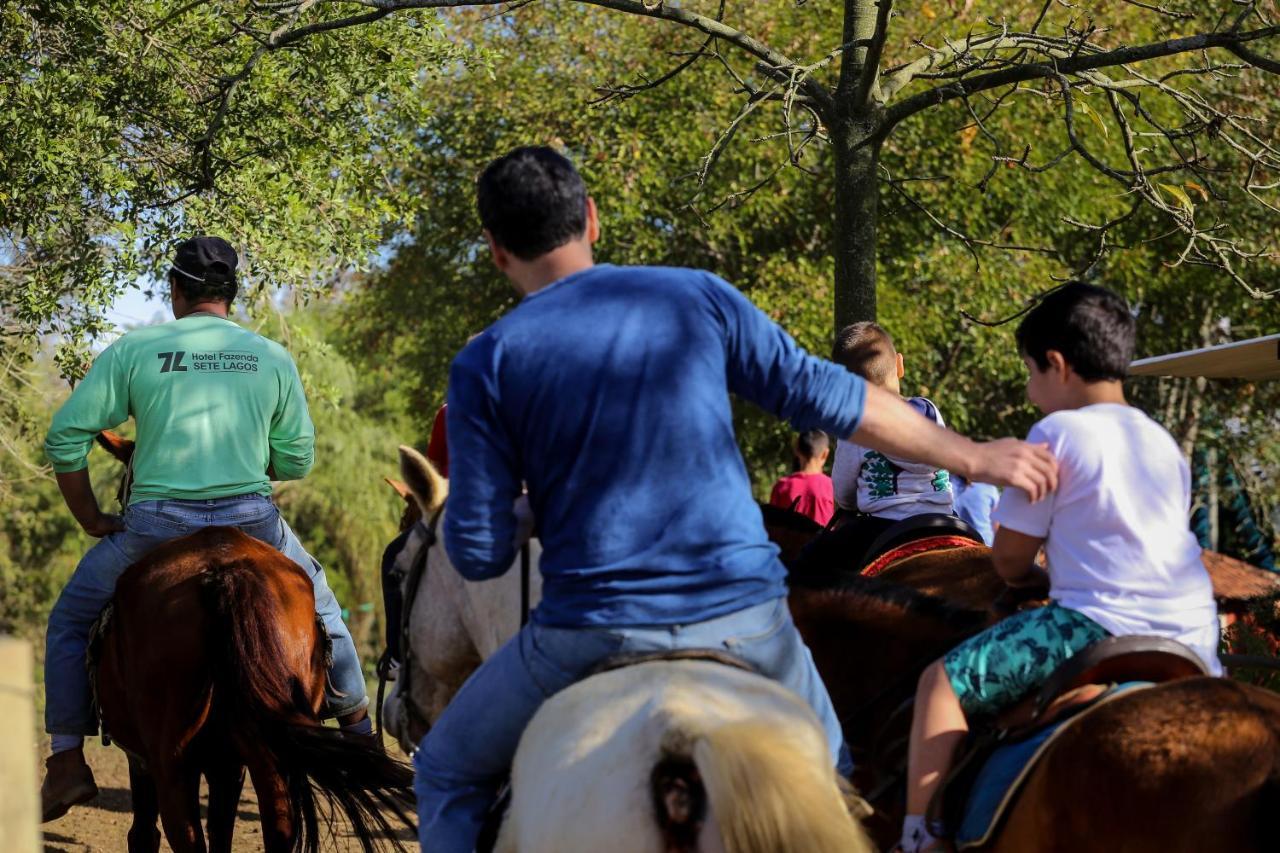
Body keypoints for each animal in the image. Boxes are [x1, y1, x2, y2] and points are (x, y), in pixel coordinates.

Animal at [95, 522, 414, 845]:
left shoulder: (144, 759)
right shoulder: (226, 765)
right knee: (279, 827)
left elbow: (145, 834)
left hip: (173, 764)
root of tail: (223, 573)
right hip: (267, 757)